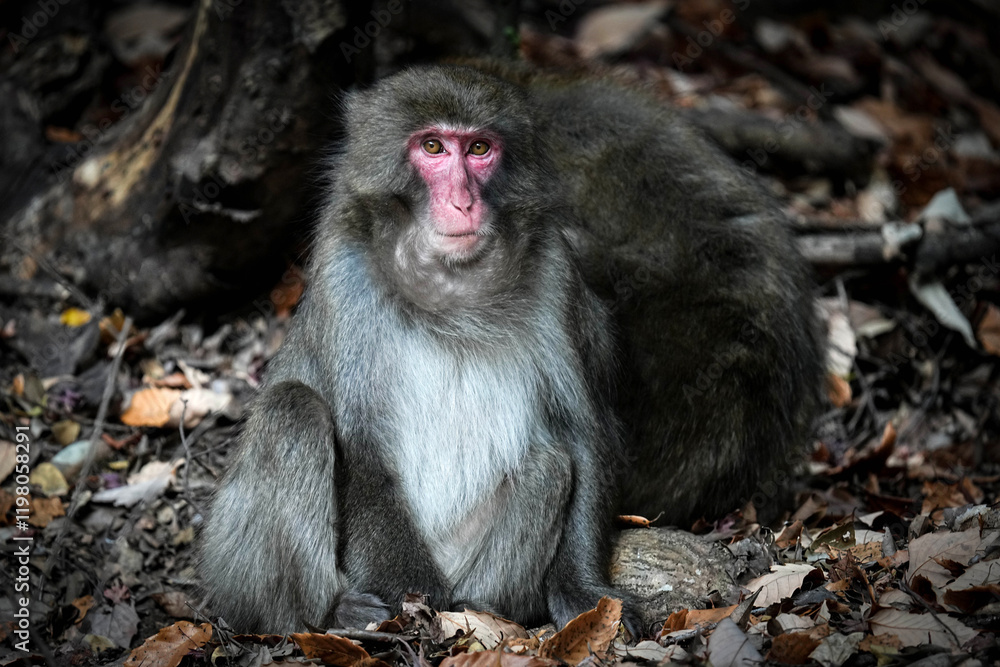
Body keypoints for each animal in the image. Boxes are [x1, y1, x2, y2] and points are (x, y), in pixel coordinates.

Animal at [202, 63, 823, 635]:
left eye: (479, 149)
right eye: (432, 146)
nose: (463, 202)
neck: (451, 288)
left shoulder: (555, 275)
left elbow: (580, 433)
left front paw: (584, 593)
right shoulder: (344, 275)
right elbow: (362, 448)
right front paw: (414, 601)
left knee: (549, 464)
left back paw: (482, 610)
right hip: (236, 565)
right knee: (291, 412)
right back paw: (328, 612)